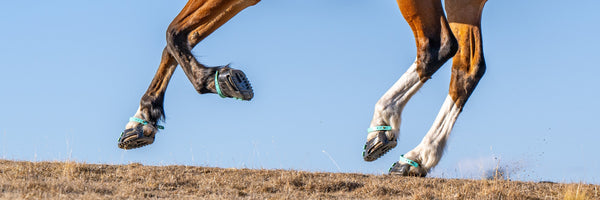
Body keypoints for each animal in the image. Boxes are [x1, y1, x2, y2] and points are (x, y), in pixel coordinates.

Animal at [117, 0, 488, 177]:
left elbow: (175, 33)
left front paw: (222, 80)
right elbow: (178, 39)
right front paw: (143, 120)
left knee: (437, 47)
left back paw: (387, 125)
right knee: (467, 68)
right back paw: (418, 157)